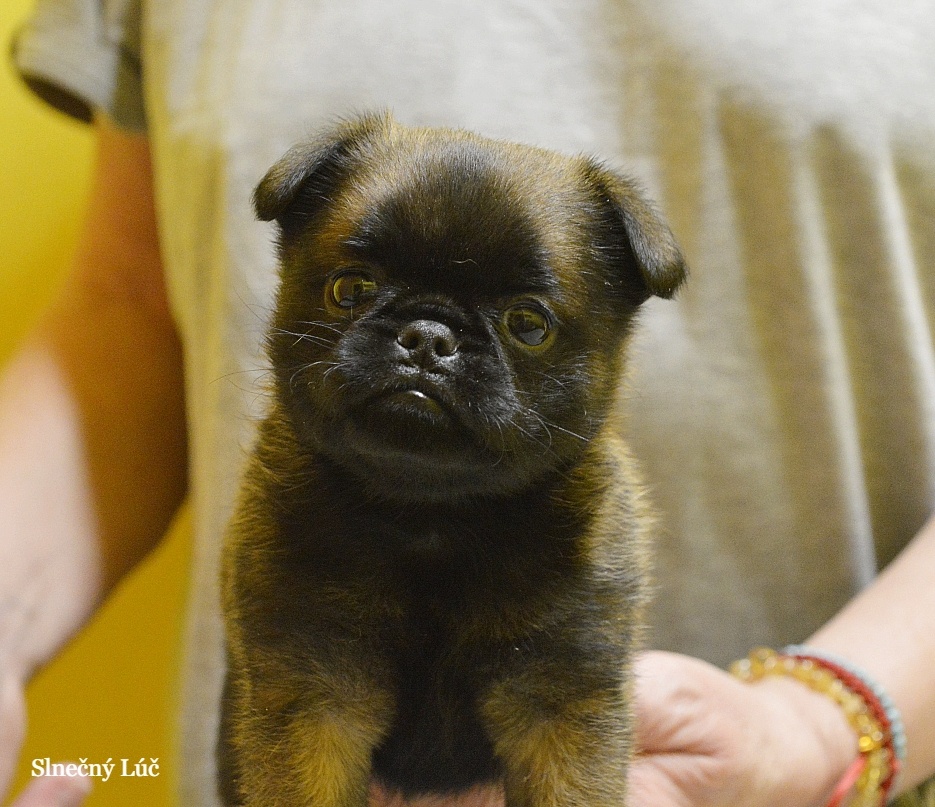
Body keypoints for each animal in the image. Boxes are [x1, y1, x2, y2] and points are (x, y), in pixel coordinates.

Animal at [219, 113, 688, 807]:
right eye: (350, 289)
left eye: (529, 325)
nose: (427, 336)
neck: (432, 515)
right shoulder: (312, 699)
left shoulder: (561, 708)